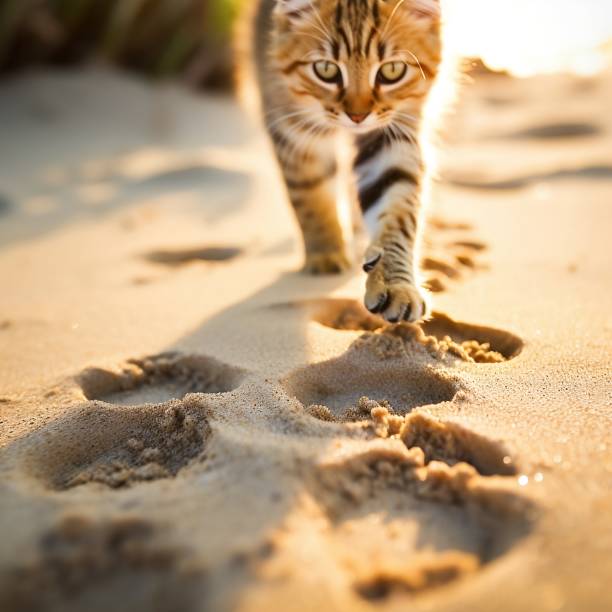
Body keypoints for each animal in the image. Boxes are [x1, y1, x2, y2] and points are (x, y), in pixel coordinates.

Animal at [239, 0, 444, 322]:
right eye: (325, 70)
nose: (357, 116)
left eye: (392, 71)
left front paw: (395, 284)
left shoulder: (394, 135)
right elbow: (312, 198)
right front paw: (326, 253)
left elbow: (397, 215)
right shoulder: (293, 130)